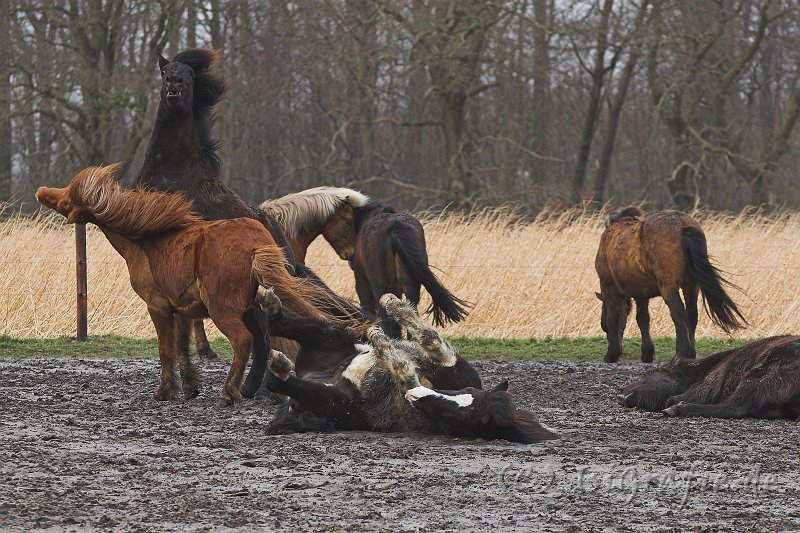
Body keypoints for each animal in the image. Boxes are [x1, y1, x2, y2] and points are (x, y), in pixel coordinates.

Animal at [36, 163, 362, 404]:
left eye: (67, 198)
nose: (41, 191)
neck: (147, 241)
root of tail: (257, 244)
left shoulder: (158, 307)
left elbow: (166, 349)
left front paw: (164, 392)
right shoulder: (181, 309)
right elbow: (182, 346)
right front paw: (190, 387)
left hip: (225, 311)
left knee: (244, 341)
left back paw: (231, 393)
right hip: (253, 306)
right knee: (267, 340)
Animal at [260, 288, 560, 442]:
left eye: (463, 417)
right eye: (467, 394)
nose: (416, 396)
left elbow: (404, 366)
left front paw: (382, 341)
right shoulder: (455, 371)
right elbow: (433, 341)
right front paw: (392, 307)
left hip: (332, 398)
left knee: (281, 381)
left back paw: (280, 366)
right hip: (333, 337)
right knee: (285, 326)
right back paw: (271, 305)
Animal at [592, 206, 744, 364]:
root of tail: (683, 225)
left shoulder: (609, 289)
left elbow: (613, 318)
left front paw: (611, 354)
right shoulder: (641, 294)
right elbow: (643, 319)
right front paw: (647, 353)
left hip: (668, 286)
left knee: (678, 312)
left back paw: (682, 352)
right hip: (692, 285)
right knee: (692, 314)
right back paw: (691, 352)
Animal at [620, 336, 800, 420]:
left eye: (649, 376)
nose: (620, 395)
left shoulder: (707, 386)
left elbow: (675, 397)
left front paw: (673, 404)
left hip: (755, 376)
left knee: (735, 407)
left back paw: (679, 409)